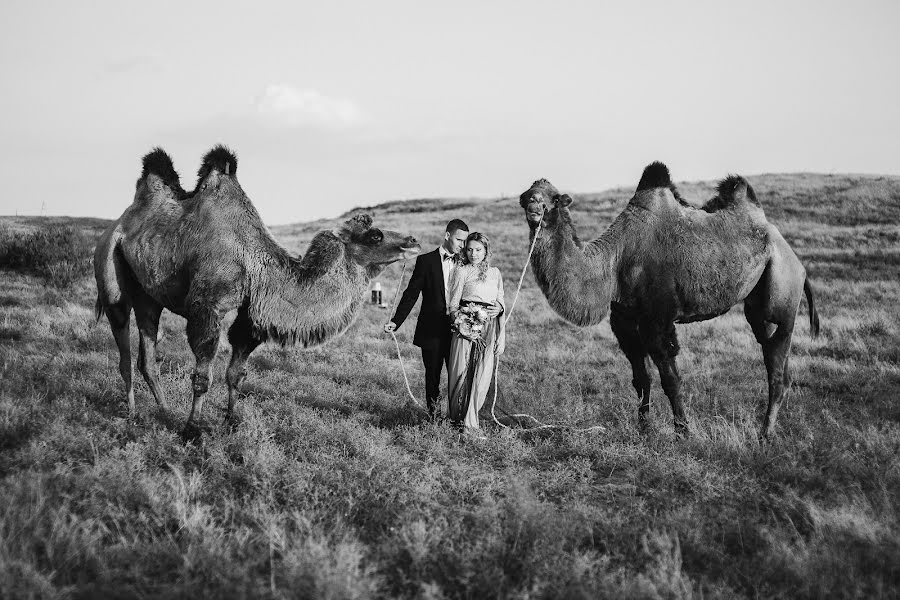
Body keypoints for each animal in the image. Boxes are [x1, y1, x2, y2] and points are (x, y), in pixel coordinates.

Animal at [93, 145, 424, 436]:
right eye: (375, 235)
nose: (413, 240)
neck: (257, 266)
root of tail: (120, 222)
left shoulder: (252, 316)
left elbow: (235, 374)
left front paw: (231, 421)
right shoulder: (207, 308)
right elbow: (202, 376)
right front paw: (192, 430)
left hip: (148, 294)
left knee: (148, 354)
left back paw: (163, 411)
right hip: (109, 267)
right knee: (123, 343)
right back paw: (133, 414)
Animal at [520, 162, 824, 438]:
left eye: (554, 198)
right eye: (526, 194)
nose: (533, 204)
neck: (614, 264)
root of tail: (796, 261)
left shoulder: (658, 318)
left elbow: (670, 379)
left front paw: (683, 432)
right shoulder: (624, 320)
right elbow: (641, 379)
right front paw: (643, 429)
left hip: (782, 288)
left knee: (776, 364)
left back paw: (765, 434)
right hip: (759, 306)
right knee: (777, 358)